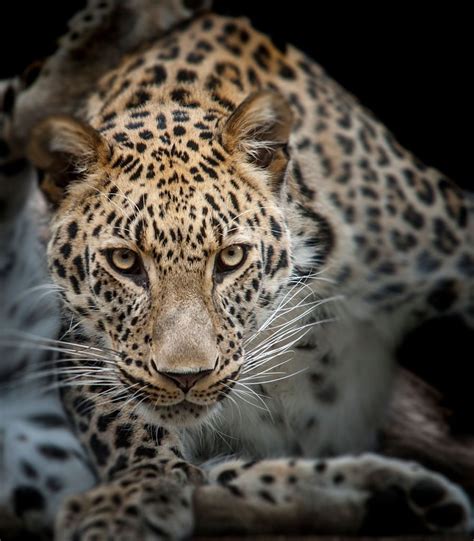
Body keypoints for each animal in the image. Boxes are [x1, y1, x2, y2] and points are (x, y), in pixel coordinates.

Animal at [0, 1, 474, 540]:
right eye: (124, 262)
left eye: (230, 258)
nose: (186, 377)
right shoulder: (85, 350)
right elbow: (123, 424)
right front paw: (134, 493)